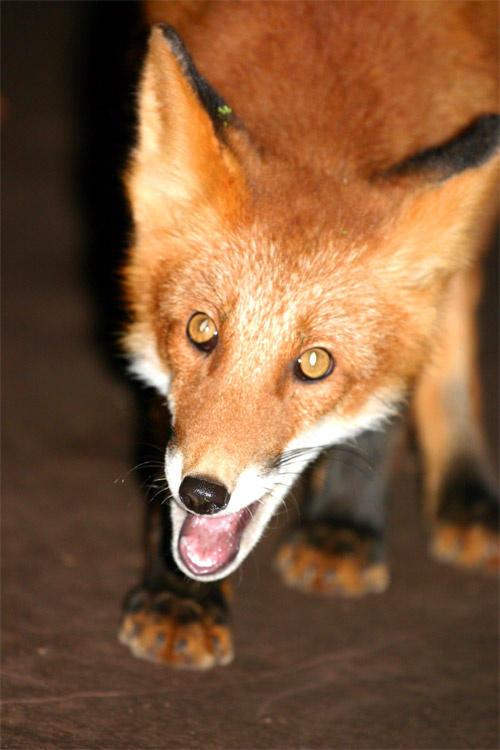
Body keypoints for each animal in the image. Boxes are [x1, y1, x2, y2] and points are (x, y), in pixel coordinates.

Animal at [118, 1, 499, 669]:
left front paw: (345, 524)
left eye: (316, 364)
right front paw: (183, 598)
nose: (203, 495)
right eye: (200, 330)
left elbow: (391, 404)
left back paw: (466, 490)